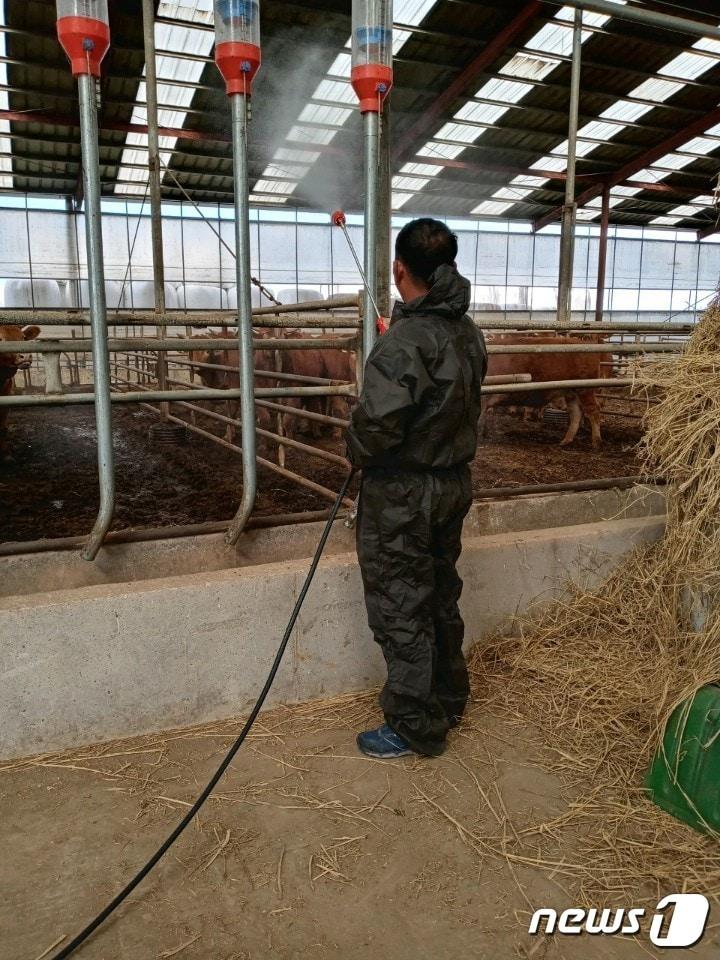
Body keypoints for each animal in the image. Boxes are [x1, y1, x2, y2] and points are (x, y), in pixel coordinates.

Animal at [0, 324, 40, 464]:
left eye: (23, 337)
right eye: (0, 338)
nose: (26, 356)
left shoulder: (6, 398)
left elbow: (2, 428)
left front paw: (6, 455)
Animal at [480, 332, 612, 448]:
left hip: (584, 389)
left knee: (593, 410)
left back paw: (596, 442)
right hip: (571, 392)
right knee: (576, 413)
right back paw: (565, 441)